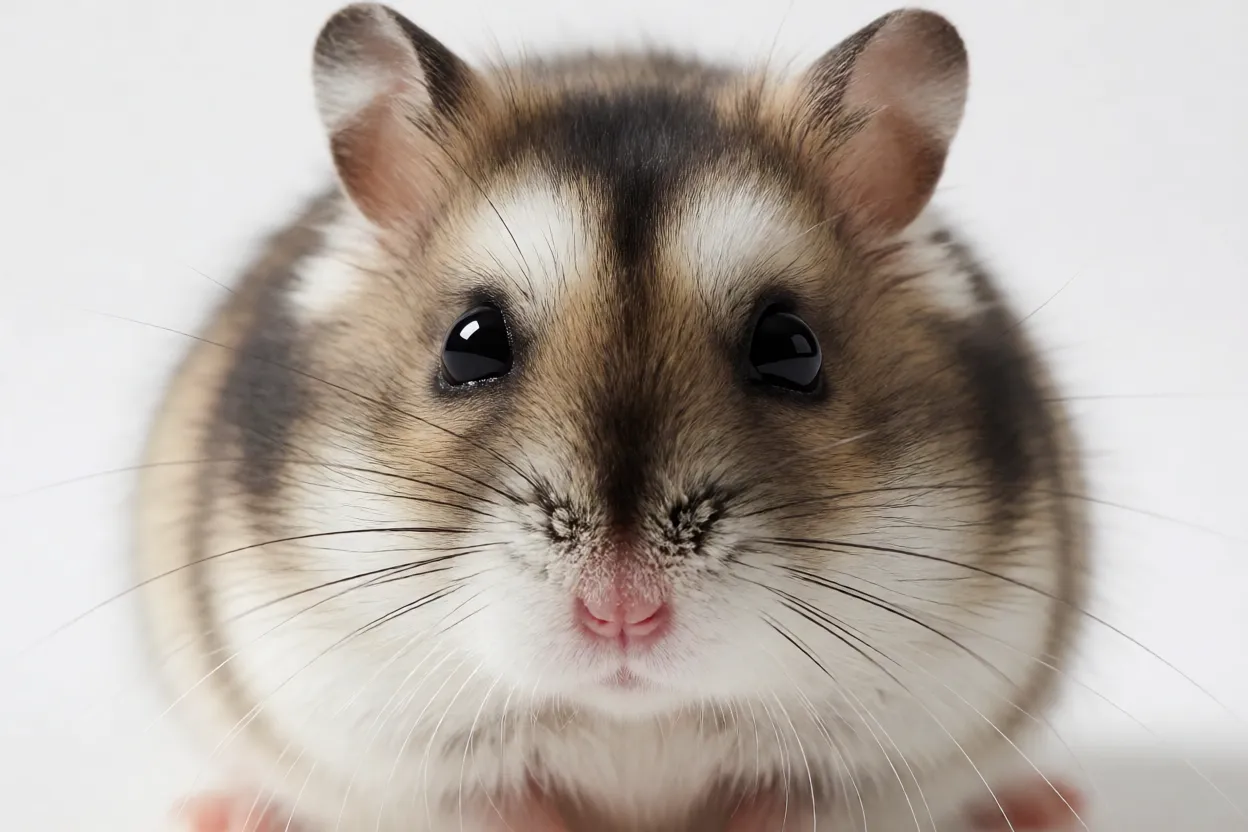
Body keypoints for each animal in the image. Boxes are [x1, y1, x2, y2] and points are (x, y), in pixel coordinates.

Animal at [133, 4, 1090, 831]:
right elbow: (505, 807)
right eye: (469, 346)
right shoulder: (397, 753)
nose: (622, 614)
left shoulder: (869, 757)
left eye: (793, 350)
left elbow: (780, 804)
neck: (636, 718)